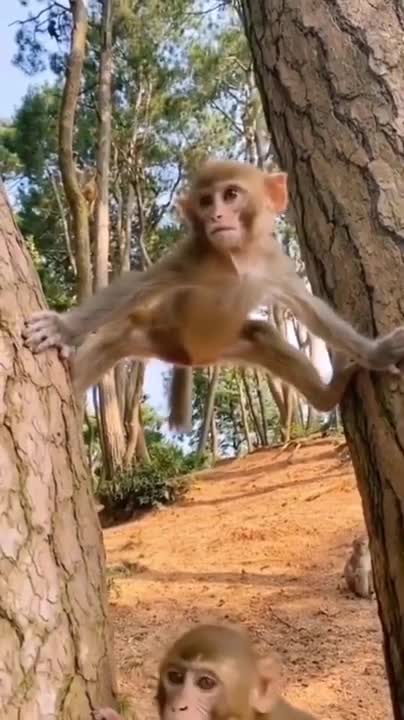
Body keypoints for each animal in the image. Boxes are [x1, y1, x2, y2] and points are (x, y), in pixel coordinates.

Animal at [23, 159, 404, 431]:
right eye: (206, 201)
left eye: (231, 195)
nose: (217, 216)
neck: (236, 258)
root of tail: (190, 358)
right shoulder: (191, 255)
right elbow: (138, 285)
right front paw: (62, 328)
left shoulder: (274, 262)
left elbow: (309, 310)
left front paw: (377, 353)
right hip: (159, 334)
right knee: (117, 335)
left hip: (229, 347)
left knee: (264, 335)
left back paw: (327, 395)